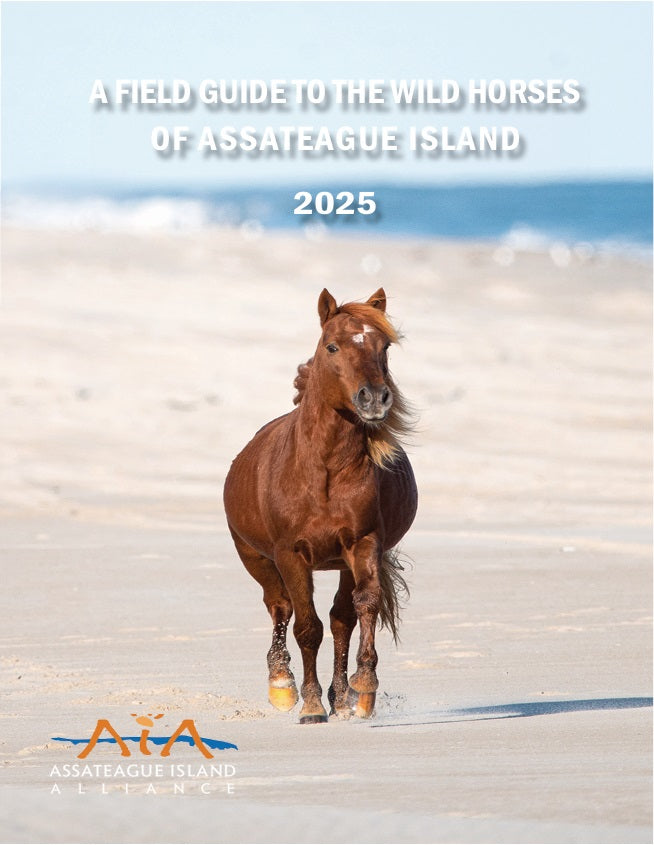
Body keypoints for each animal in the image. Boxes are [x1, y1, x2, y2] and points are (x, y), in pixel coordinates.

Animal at [223, 288, 417, 723]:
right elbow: (306, 627)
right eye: (332, 346)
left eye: (384, 347)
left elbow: (365, 605)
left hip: (342, 561)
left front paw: (363, 690)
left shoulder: (364, 543)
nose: (374, 398)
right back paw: (282, 684)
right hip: (255, 558)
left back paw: (342, 697)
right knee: (280, 608)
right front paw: (310, 706)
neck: (325, 469)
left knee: (342, 618)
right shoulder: (290, 554)